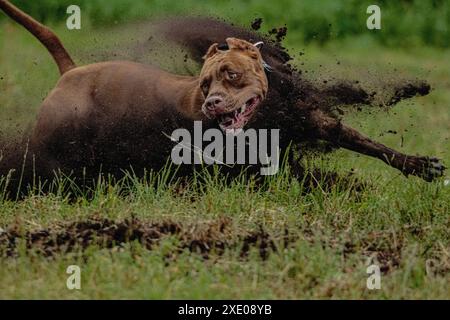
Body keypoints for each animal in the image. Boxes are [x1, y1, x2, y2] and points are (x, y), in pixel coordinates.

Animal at [0, 0, 442, 185]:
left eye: (230, 74)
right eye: (204, 84)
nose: (212, 103)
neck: (270, 116)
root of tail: (70, 73)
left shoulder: (315, 120)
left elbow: (372, 146)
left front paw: (420, 165)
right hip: (54, 149)